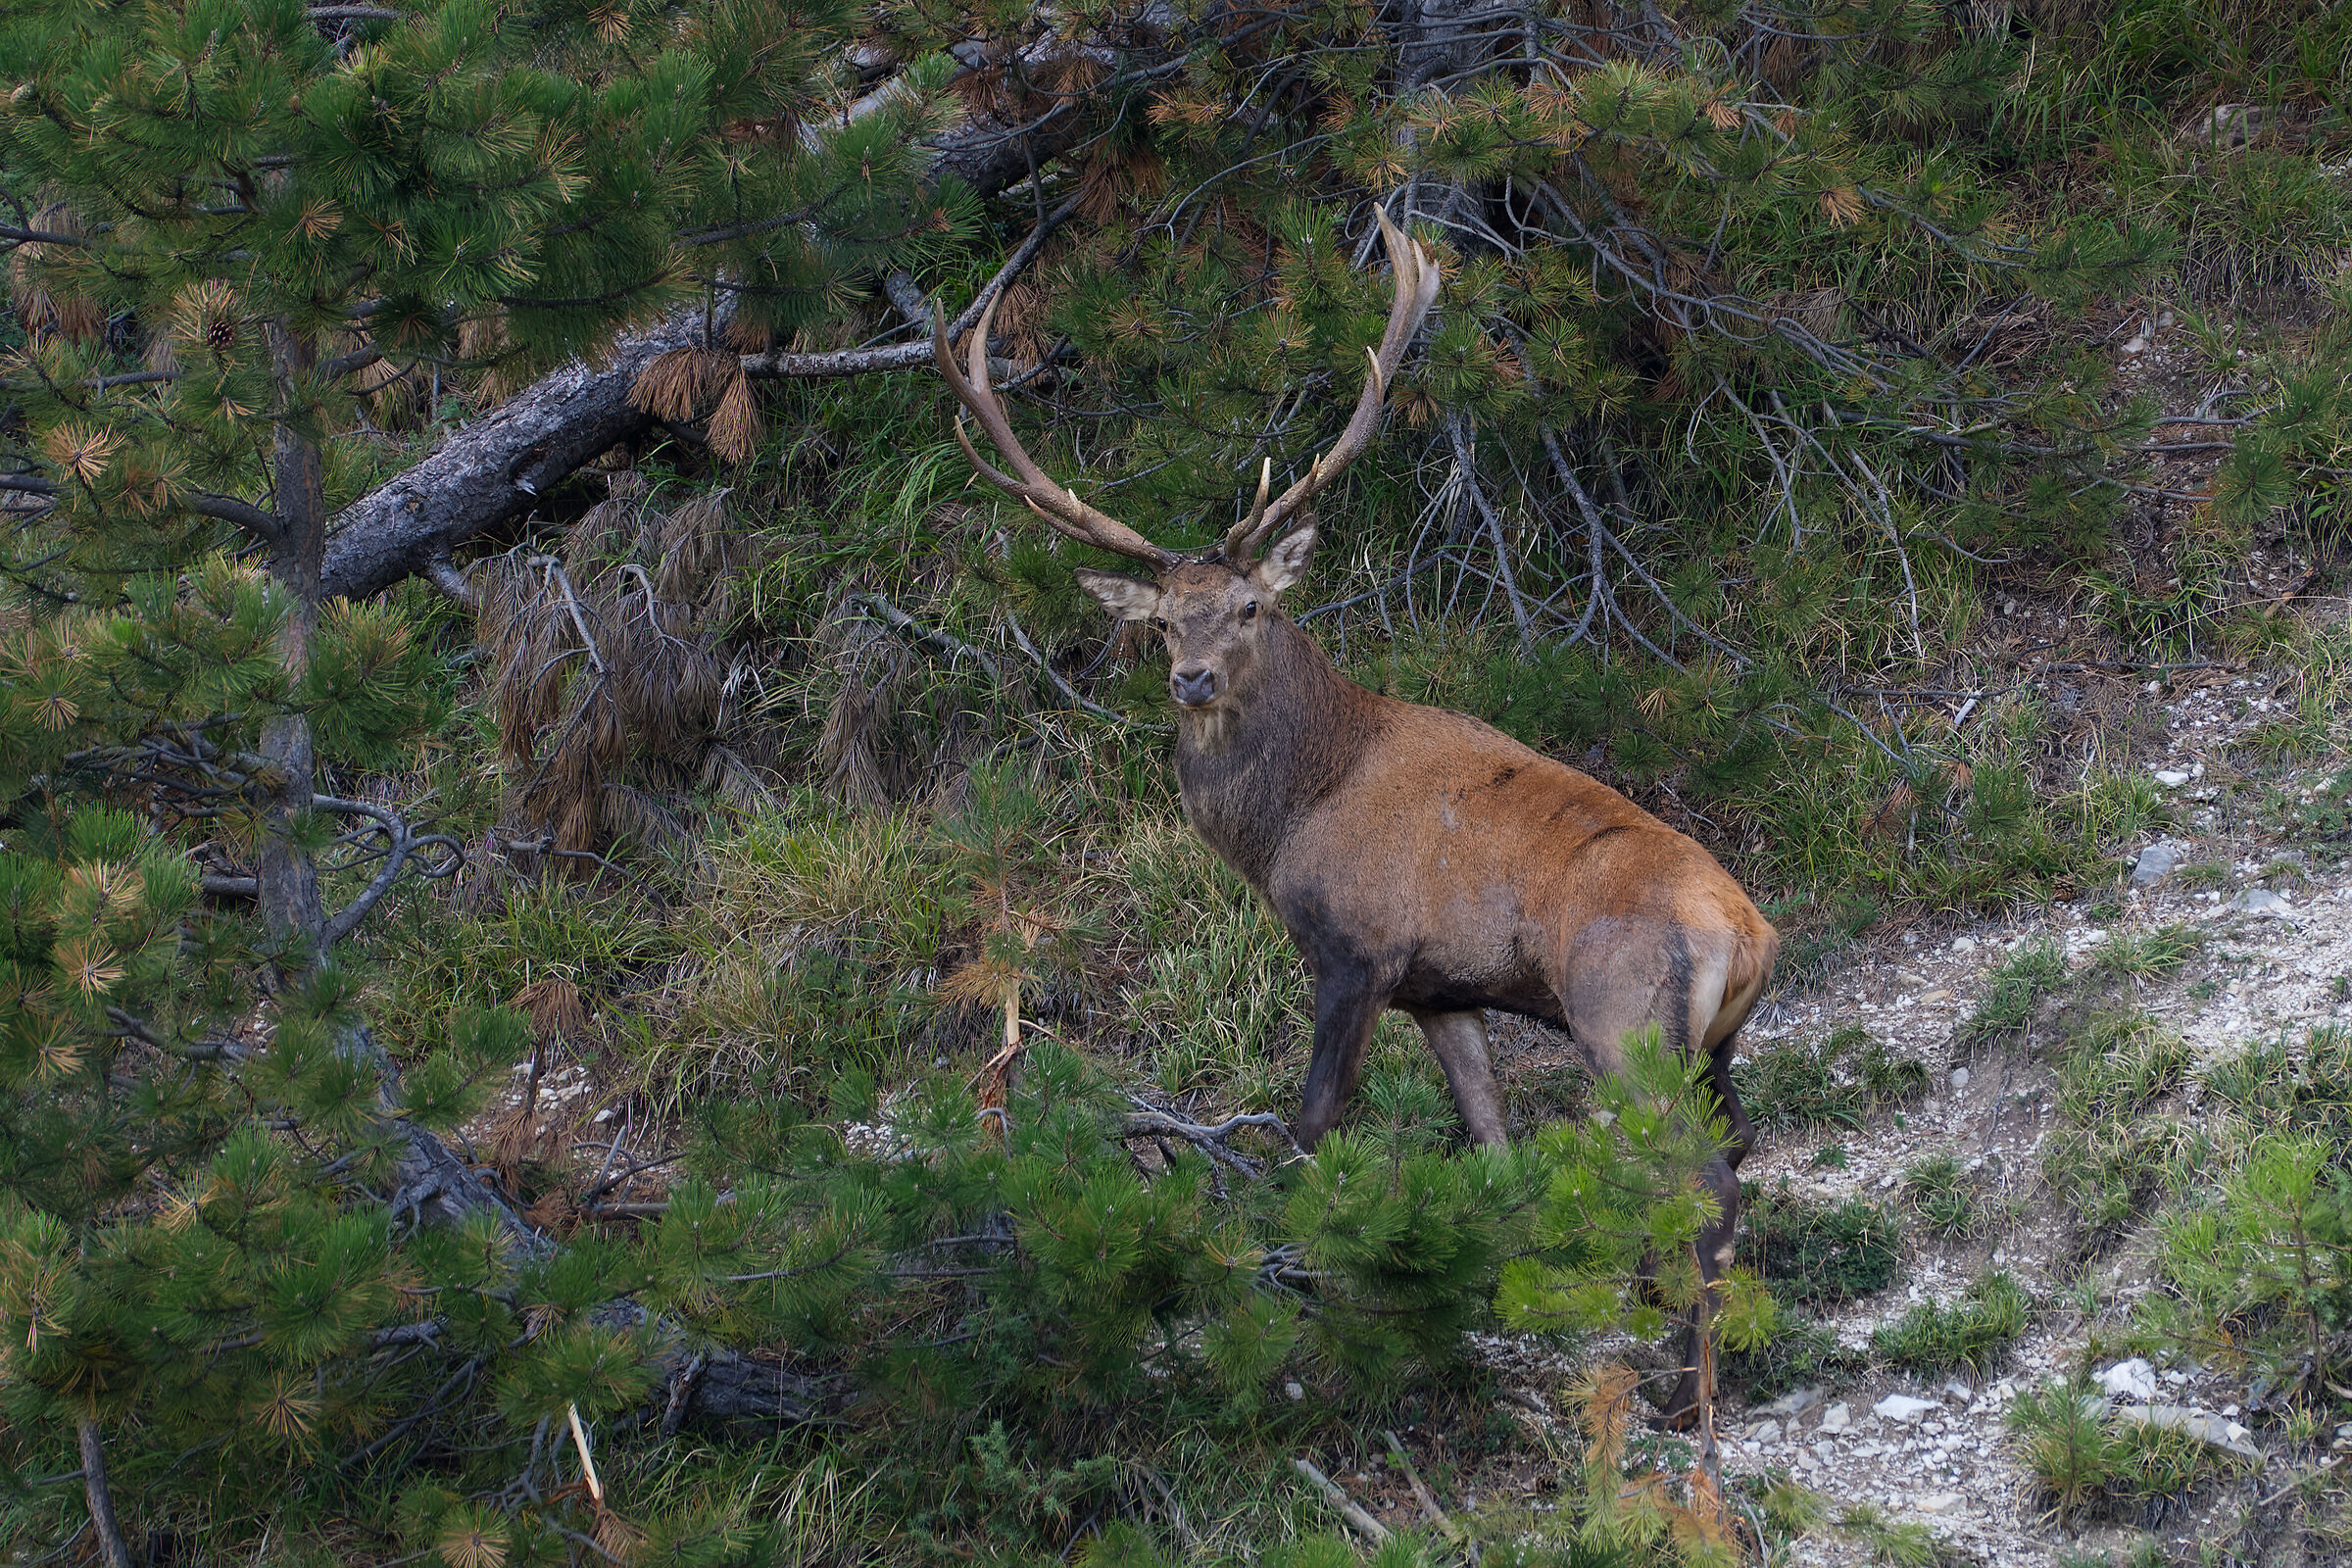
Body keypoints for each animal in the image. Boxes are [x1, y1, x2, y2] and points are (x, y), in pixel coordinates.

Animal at [932, 212, 1778, 1423]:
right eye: (1162, 619)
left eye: (1250, 605)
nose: (1190, 677)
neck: (1292, 814)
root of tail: (1751, 934)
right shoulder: (1442, 989)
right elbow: (1493, 1142)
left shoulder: (1356, 950)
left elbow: (1308, 1129)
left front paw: (1288, 1284)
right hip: (1712, 1044)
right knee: (1735, 1145)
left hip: (1623, 1020)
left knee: (1702, 1175)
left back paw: (1685, 1383)